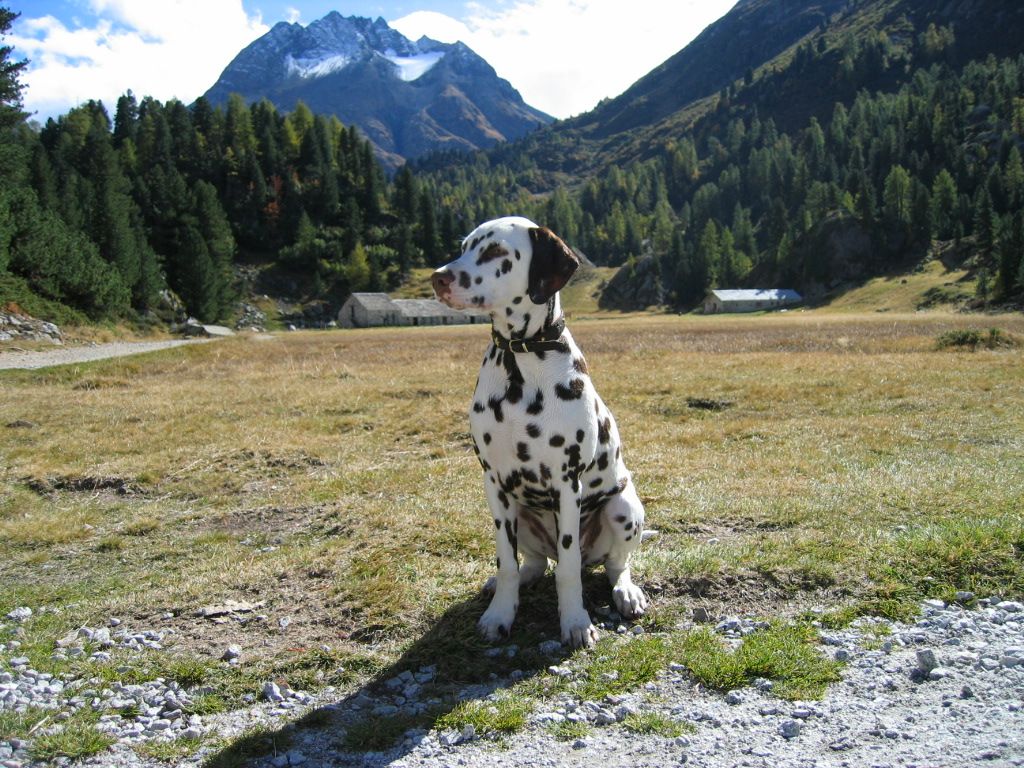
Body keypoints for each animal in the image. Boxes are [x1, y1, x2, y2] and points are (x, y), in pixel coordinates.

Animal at [432, 216, 648, 649]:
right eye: (464, 247)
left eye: (496, 251)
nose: (438, 278)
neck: (521, 360)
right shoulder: (494, 483)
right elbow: (507, 562)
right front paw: (500, 614)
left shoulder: (566, 483)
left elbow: (567, 569)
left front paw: (575, 622)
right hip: (520, 513)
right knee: (530, 562)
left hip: (623, 509)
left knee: (615, 563)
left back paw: (626, 591)